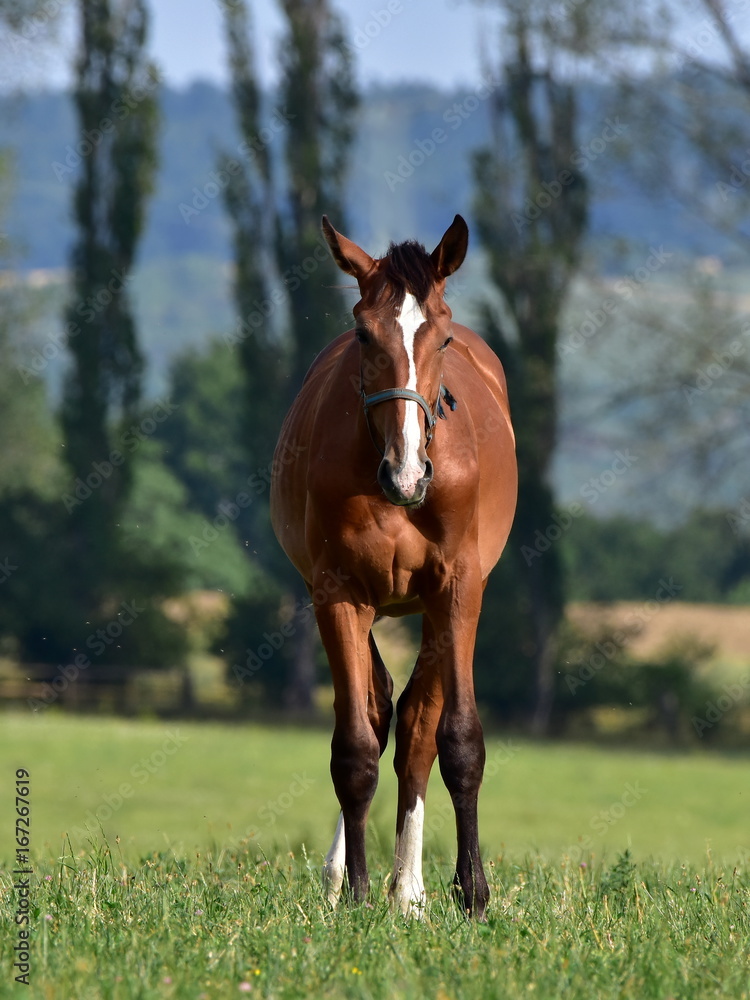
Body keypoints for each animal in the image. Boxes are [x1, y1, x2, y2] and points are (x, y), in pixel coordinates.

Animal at [270, 214, 517, 919]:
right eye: (363, 332)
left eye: (444, 332)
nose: (406, 474)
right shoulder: (338, 593)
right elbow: (355, 745)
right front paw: (353, 891)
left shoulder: (457, 589)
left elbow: (457, 740)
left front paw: (472, 893)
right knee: (380, 716)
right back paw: (347, 879)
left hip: (437, 609)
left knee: (415, 728)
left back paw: (409, 891)